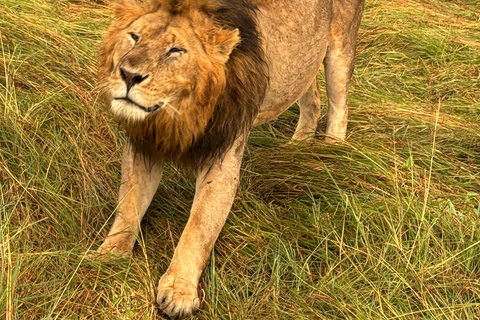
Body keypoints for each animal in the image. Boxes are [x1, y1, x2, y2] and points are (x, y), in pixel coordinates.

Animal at [94, 0, 364, 318]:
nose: (128, 75)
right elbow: (129, 204)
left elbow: (199, 226)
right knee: (312, 98)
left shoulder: (223, 154)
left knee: (339, 105)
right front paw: (109, 256)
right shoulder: (144, 144)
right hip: (304, 60)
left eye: (175, 50)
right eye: (134, 37)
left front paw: (179, 291)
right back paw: (297, 147)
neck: (179, 114)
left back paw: (331, 153)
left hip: (340, 49)